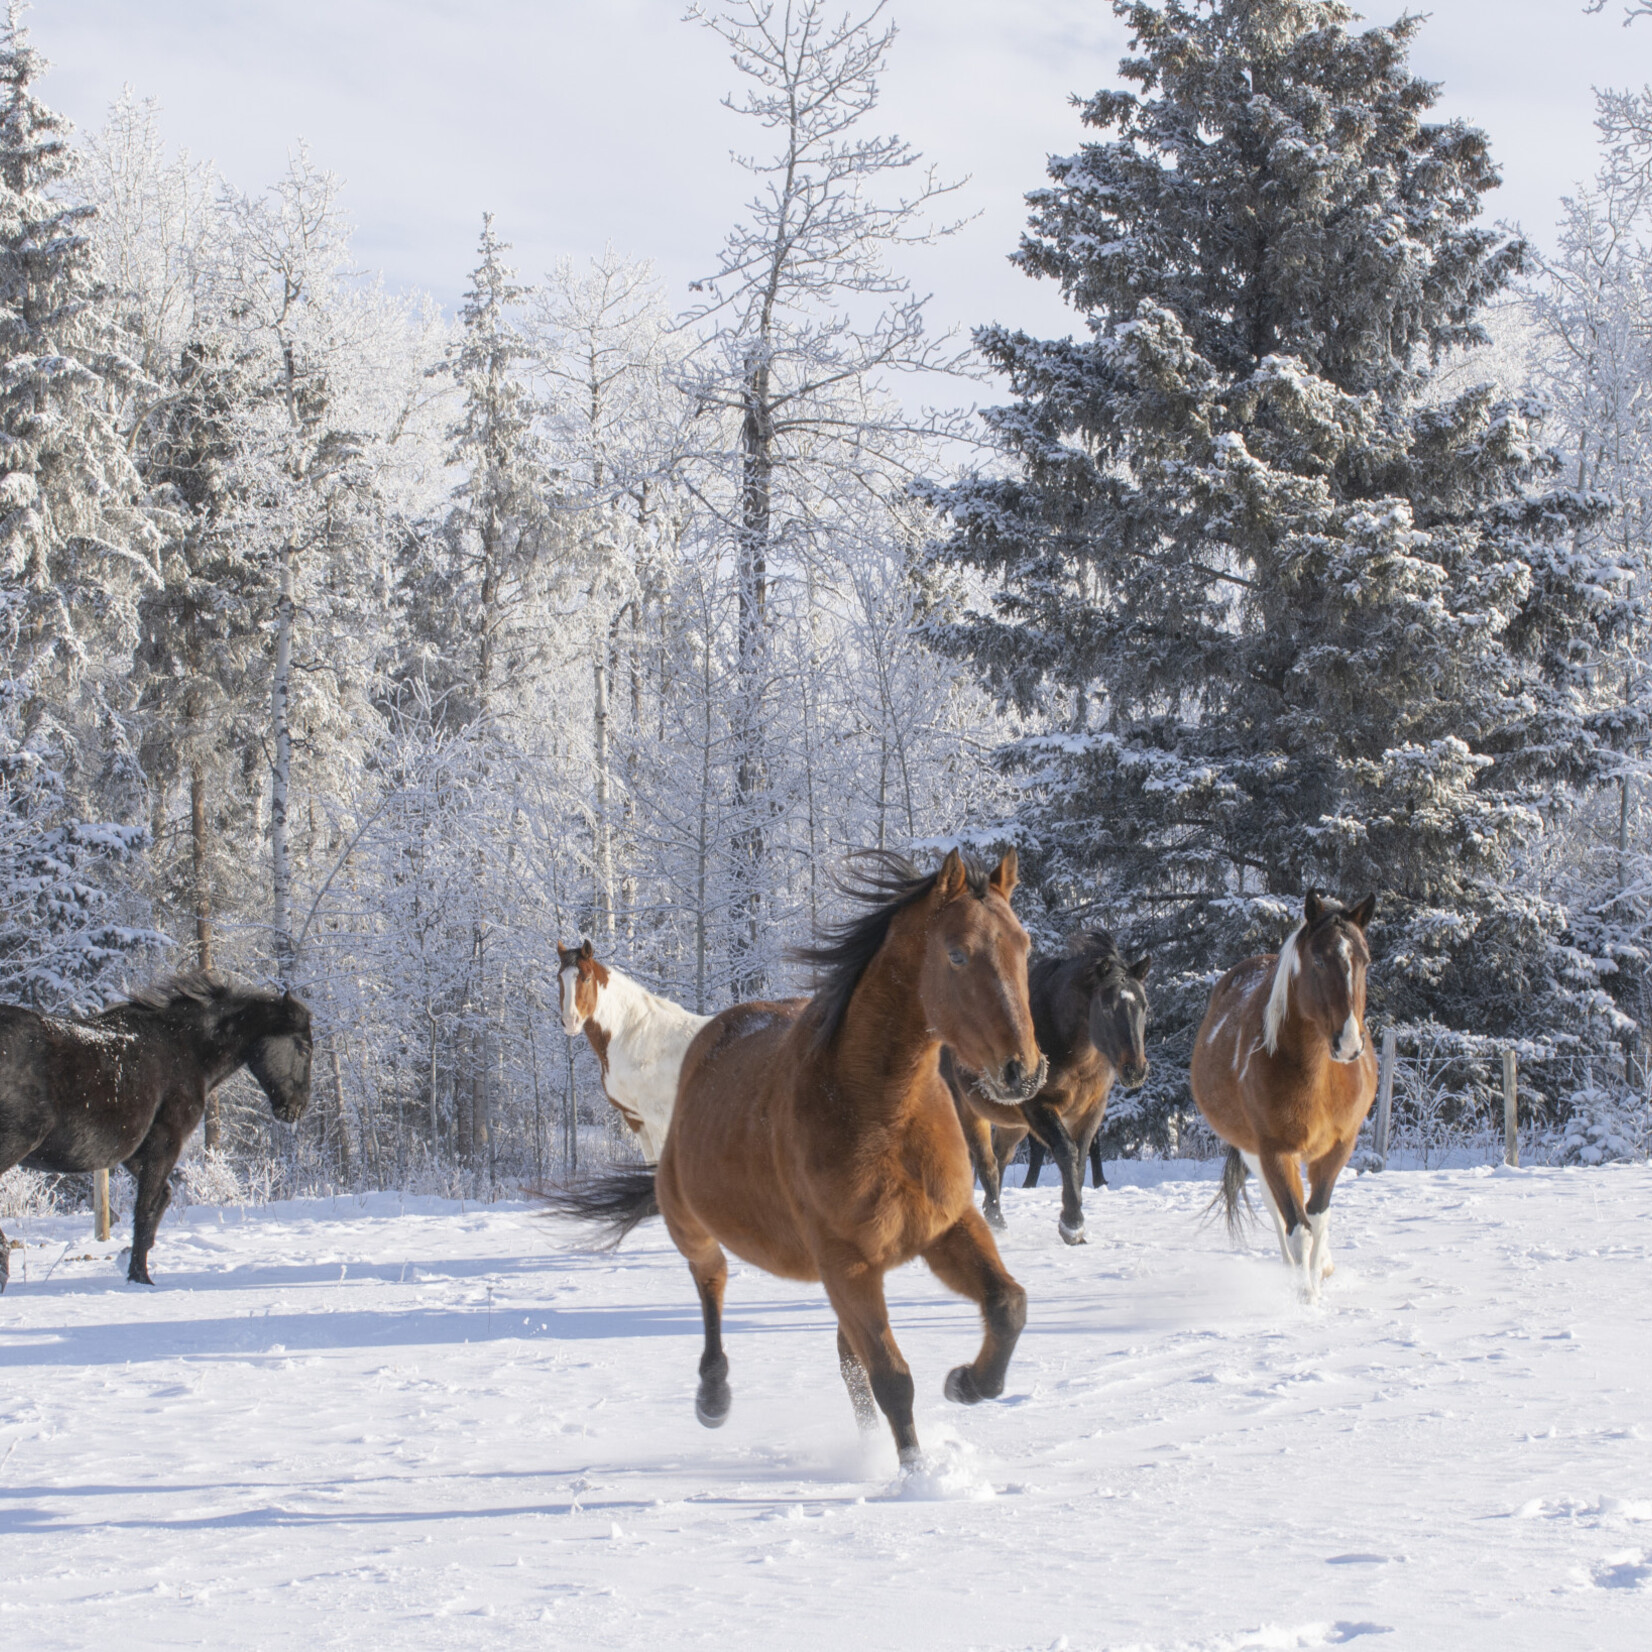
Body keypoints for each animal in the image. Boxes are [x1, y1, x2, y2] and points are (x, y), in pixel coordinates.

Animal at [0, 964, 312, 1288]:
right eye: (303, 1048)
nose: (296, 1107)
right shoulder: (165, 1142)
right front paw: (140, 1277)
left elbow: (161, 1198)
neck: (184, 1048)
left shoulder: (134, 1153)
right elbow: (147, 1208)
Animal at [555, 944, 710, 1163]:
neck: (633, 1033)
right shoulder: (635, 1119)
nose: (570, 1021)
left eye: (586, 978)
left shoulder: (657, 1119)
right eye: (559, 978)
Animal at [944, 938, 1149, 1242]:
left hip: (1012, 1125)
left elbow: (1080, 1160)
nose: (1135, 1070)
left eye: (1144, 1006)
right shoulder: (1039, 1108)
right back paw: (995, 1222)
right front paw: (1072, 1224)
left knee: (1000, 1159)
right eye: (1107, 1008)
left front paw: (1075, 1225)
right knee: (986, 1164)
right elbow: (1066, 1152)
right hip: (969, 1113)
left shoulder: (1091, 1111)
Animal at [1189, 892, 1381, 1301]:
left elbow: (1319, 1217)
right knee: (1277, 1213)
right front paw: (1304, 1295)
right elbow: (1297, 1227)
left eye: (1365, 960)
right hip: (1254, 1152)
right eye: (1319, 960)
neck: (1317, 1076)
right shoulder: (1276, 1152)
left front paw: (1320, 1276)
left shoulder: (1338, 1147)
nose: (1348, 1044)